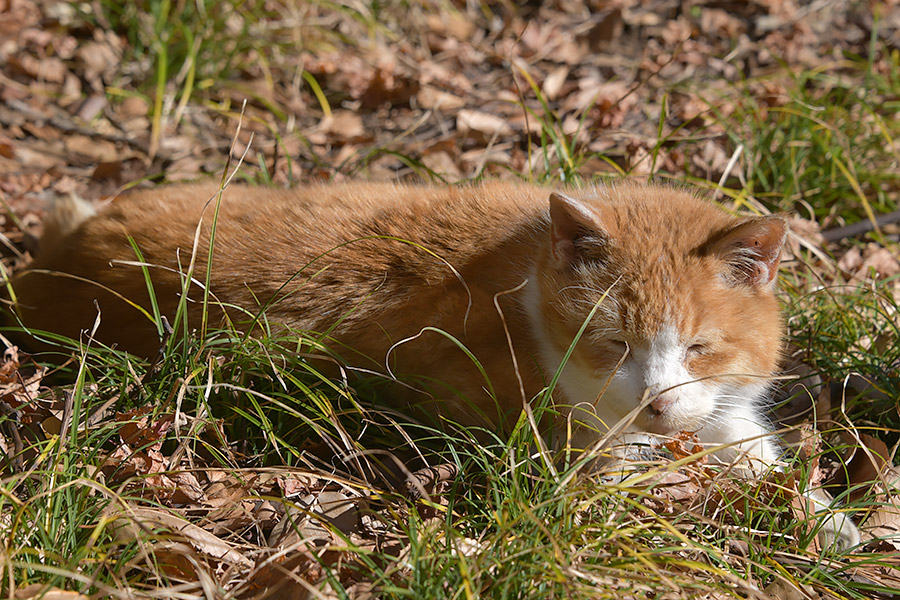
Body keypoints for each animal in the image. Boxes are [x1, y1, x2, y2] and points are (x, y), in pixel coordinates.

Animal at [8, 182, 856, 548]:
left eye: (699, 346)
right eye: (614, 341)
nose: (656, 402)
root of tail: (53, 261)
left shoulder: (724, 418)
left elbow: (769, 465)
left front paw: (838, 526)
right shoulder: (570, 456)